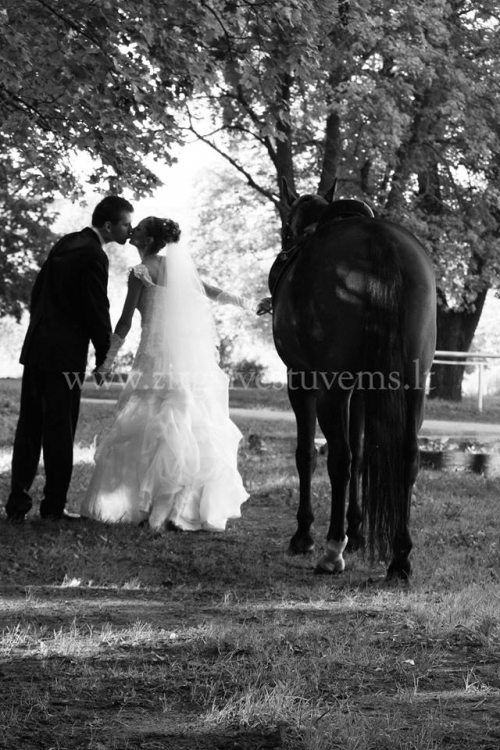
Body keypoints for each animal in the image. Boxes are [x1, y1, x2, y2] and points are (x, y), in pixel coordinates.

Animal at [268, 182, 436, 580]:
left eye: (287, 230)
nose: (284, 251)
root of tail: (379, 242)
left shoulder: (301, 379)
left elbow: (307, 454)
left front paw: (304, 535)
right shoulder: (362, 388)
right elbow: (362, 454)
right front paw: (357, 532)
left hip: (331, 387)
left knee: (339, 458)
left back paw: (332, 550)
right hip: (414, 385)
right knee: (407, 456)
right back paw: (400, 557)